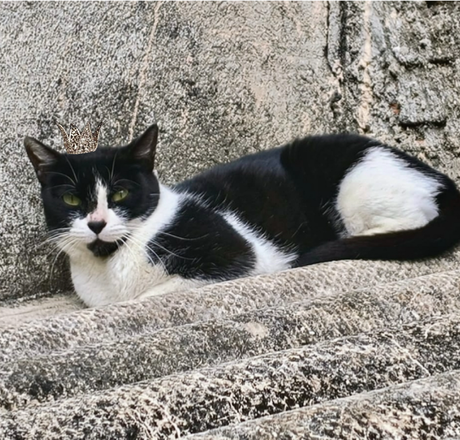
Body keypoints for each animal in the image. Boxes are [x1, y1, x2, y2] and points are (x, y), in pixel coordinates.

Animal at [25, 124, 460, 307]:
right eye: (71, 200)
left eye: (119, 193)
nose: (97, 224)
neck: (110, 264)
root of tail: (441, 178)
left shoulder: (239, 255)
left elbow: (161, 290)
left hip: (354, 181)